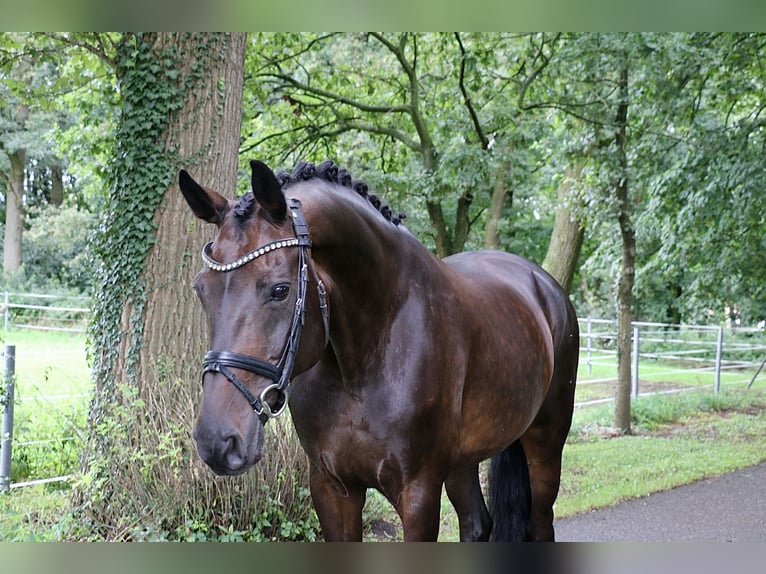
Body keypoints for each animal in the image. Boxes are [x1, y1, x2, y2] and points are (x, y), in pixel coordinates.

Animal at [178, 160, 576, 544]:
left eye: (280, 290)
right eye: (200, 289)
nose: (217, 440)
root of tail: (543, 285)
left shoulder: (418, 495)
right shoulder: (332, 488)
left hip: (545, 443)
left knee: (541, 522)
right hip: (463, 461)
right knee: (477, 524)